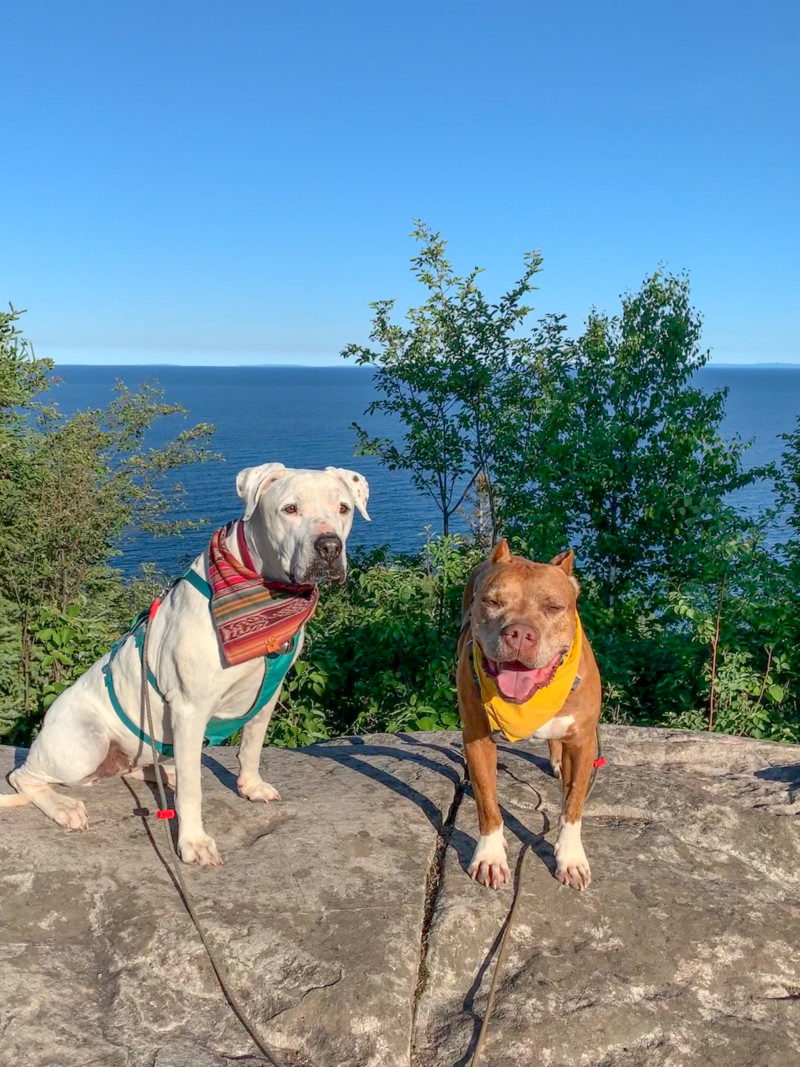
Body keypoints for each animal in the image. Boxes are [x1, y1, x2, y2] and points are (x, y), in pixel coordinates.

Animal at [0, 463, 369, 862]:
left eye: (344, 508)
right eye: (290, 509)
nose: (330, 546)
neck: (265, 599)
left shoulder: (268, 694)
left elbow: (252, 746)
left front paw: (250, 786)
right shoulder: (190, 710)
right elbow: (194, 792)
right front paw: (193, 841)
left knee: (132, 767)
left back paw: (164, 773)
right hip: (85, 744)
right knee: (23, 777)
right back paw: (65, 807)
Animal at [456, 542, 601, 892]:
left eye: (554, 607)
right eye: (492, 601)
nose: (520, 633)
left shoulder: (584, 742)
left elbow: (573, 805)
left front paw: (570, 858)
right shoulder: (477, 738)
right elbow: (487, 803)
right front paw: (490, 856)